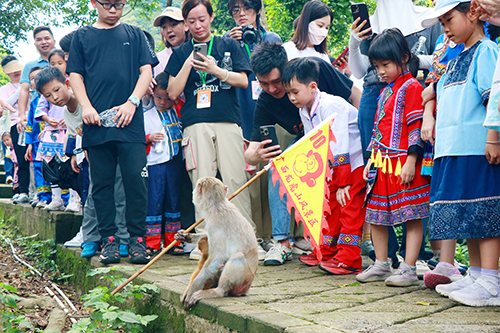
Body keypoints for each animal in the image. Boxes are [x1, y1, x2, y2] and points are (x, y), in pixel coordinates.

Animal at [175, 176, 258, 308]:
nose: (193, 191)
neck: (216, 205)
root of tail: (246, 289)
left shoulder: (216, 223)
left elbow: (218, 257)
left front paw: (193, 288)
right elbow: (207, 237)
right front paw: (186, 236)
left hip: (245, 280)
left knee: (237, 256)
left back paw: (217, 291)